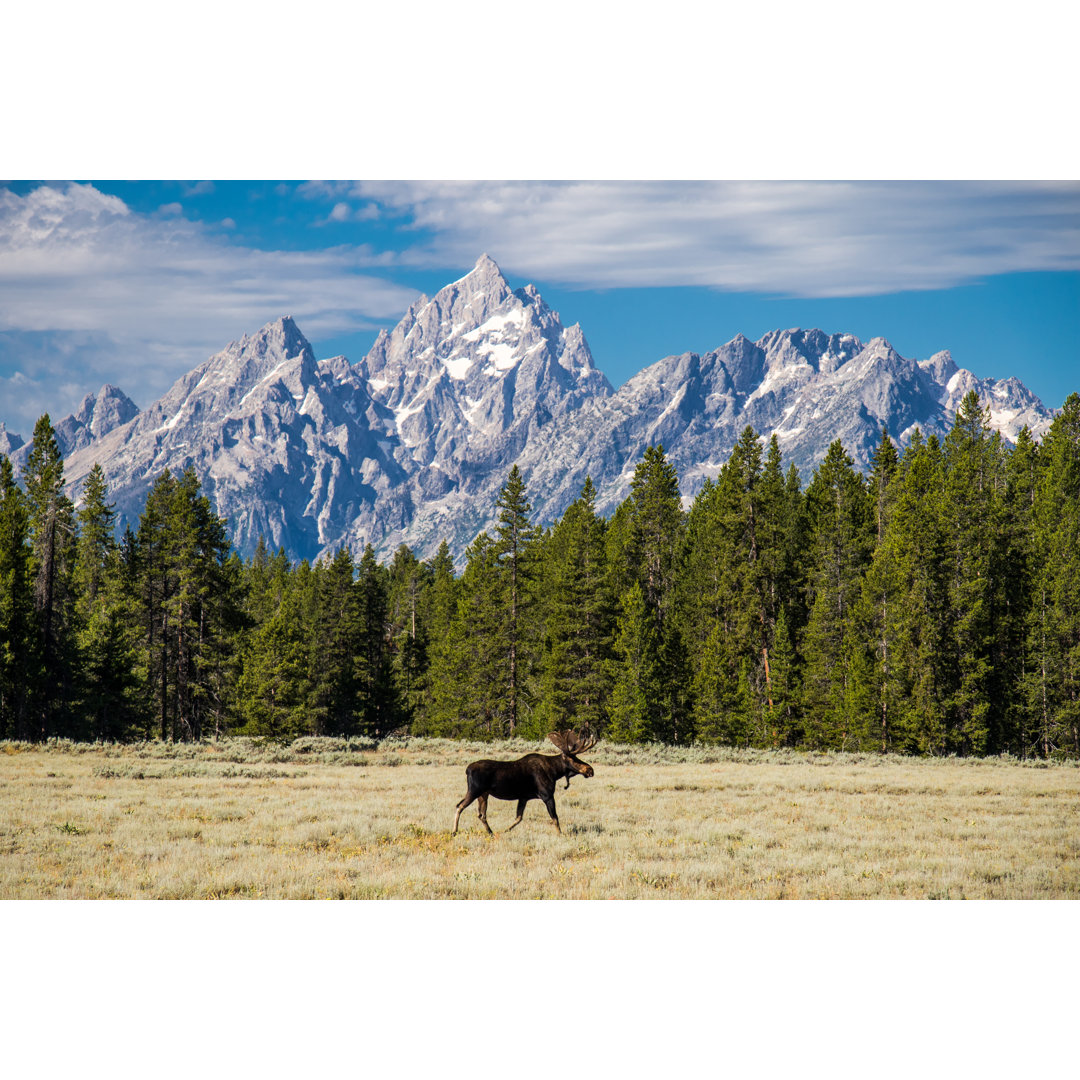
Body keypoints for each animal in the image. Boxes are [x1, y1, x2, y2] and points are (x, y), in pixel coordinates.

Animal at [449, 730, 600, 838]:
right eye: (573, 759)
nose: (590, 770)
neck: (554, 772)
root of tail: (467, 769)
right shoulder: (547, 796)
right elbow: (555, 818)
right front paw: (561, 835)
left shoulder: (524, 797)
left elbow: (518, 818)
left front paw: (505, 830)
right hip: (474, 790)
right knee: (459, 806)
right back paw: (454, 831)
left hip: (483, 794)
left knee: (481, 814)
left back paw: (491, 832)